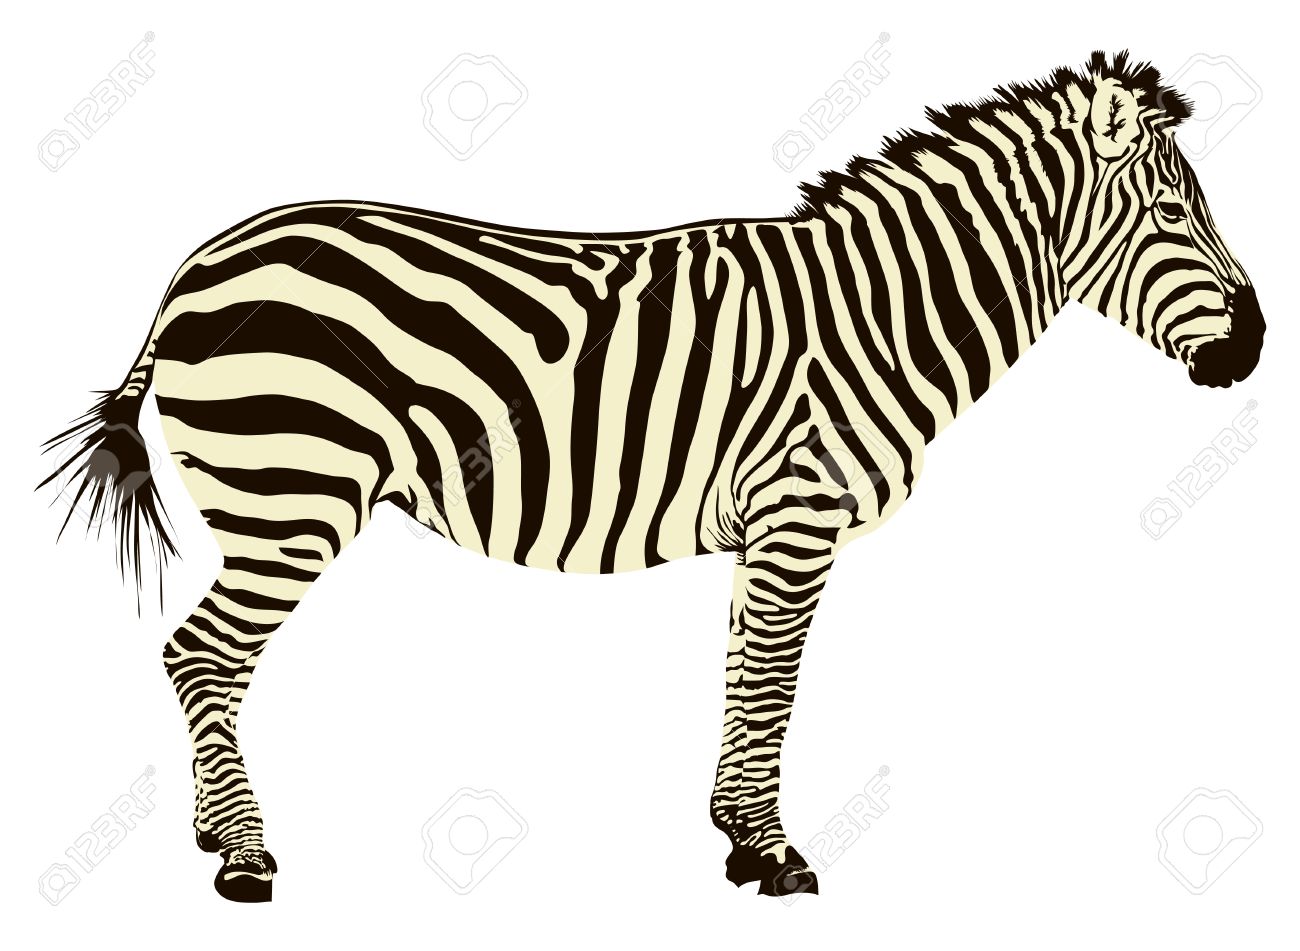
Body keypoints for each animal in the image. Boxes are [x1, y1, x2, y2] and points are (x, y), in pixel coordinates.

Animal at [42, 50, 1263, 902]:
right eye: (1173, 213)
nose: (1253, 349)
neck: (879, 315)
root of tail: (194, 268)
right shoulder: (799, 510)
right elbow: (774, 686)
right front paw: (773, 855)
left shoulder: (764, 529)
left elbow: (743, 676)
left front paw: (734, 833)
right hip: (290, 495)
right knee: (200, 654)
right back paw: (243, 858)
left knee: (202, 662)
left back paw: (214, 827)